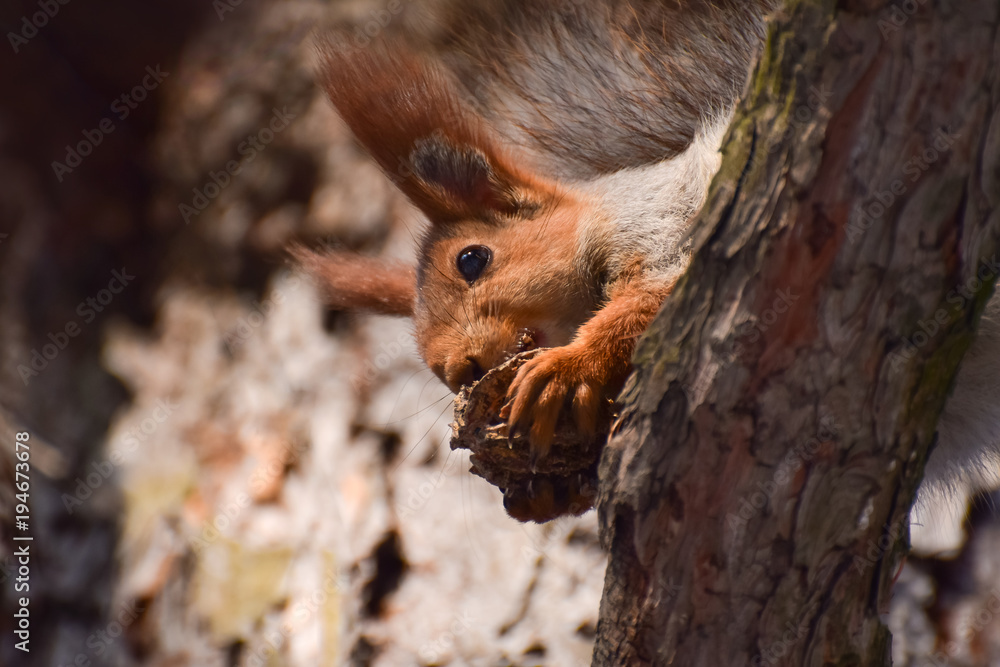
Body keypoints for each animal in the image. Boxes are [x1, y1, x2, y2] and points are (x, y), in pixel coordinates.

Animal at [298, 0, 1000, 536]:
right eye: (419, 351)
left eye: (473, 259)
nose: (457, 370)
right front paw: (547, 492)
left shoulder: (667, 227)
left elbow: (649, 304)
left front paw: (567, 370)